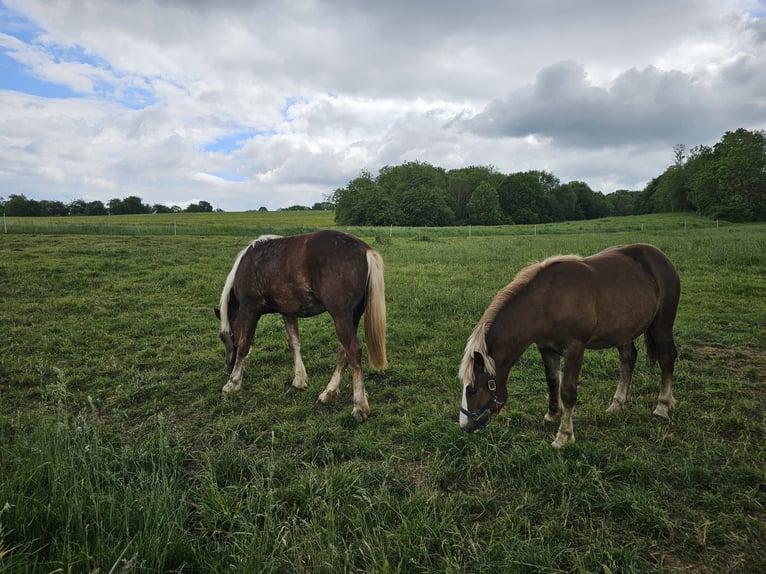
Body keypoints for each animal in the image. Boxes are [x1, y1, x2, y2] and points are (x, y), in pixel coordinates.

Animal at [214, 230, 387, 422]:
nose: (228, 366)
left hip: (341, 316)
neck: (248, 265)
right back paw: (329, 393)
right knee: (344, 353)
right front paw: (299, 380)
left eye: (223, 337)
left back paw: (359, 407)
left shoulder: (249, 310)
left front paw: (233, 382)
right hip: (352, 317)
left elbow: (244, 346)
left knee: (353, 351)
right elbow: (293, 343)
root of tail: (365, 250)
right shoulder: (288, 313)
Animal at [458, 243, 680, 447]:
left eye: (472, 390)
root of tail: (661, 258)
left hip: (662, 324)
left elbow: (568, 391)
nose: (464, 426)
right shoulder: (546, 347)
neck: (546, 301)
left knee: (667, 358)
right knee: (628, 360)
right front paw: (552, 414)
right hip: (624, 330)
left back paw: (663, 406)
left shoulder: (574, 348)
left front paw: (564, 436)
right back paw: (617, 405)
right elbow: (552, 380)